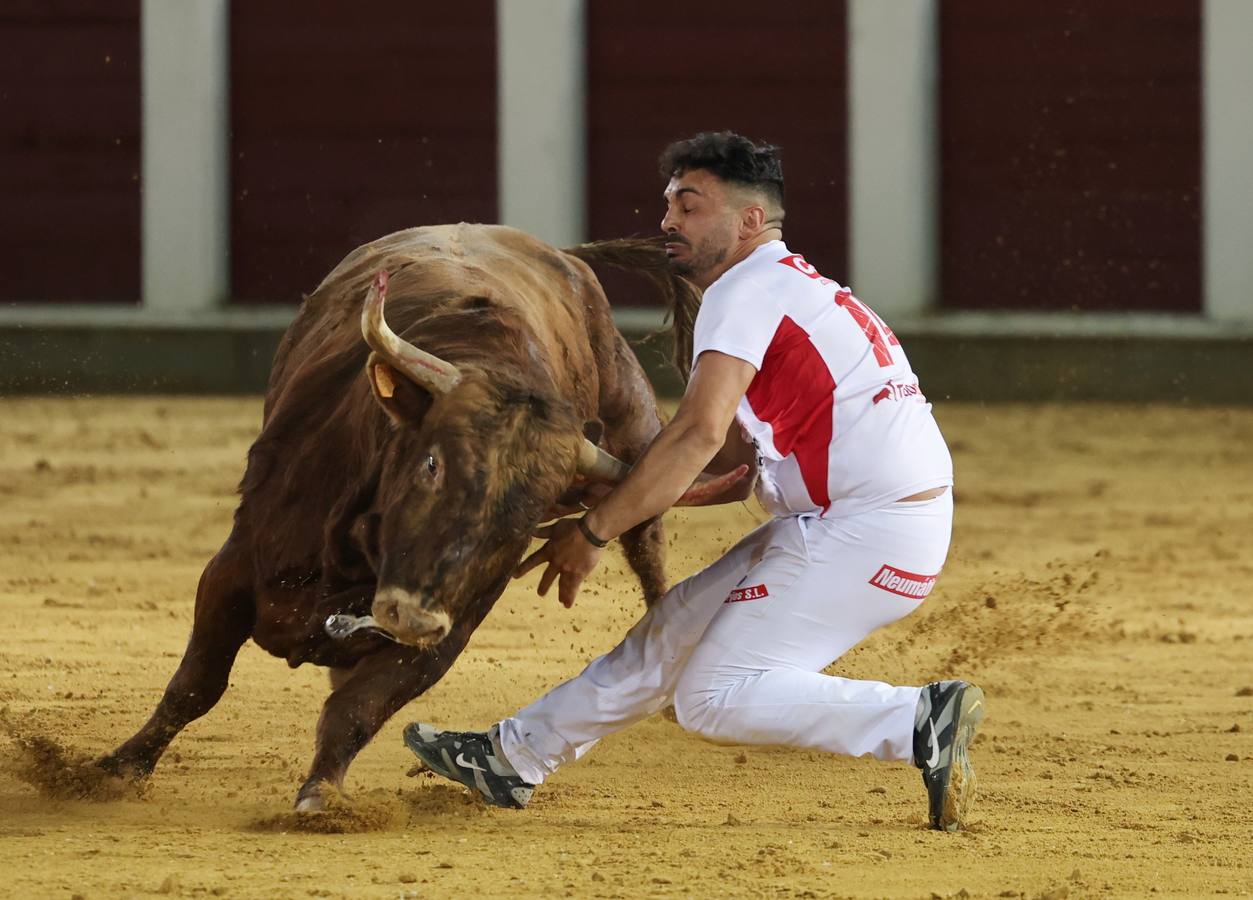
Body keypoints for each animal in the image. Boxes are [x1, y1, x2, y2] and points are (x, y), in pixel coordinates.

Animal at [102, 224, 741, 812]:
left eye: (528, 515)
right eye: (432, 463)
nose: (409, 614)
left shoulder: (449, 630)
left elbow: (358, 708)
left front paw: (321, 795)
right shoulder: (235, 565)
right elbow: (197, 684)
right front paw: (116, 769)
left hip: (637, 429)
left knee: (647, 540)